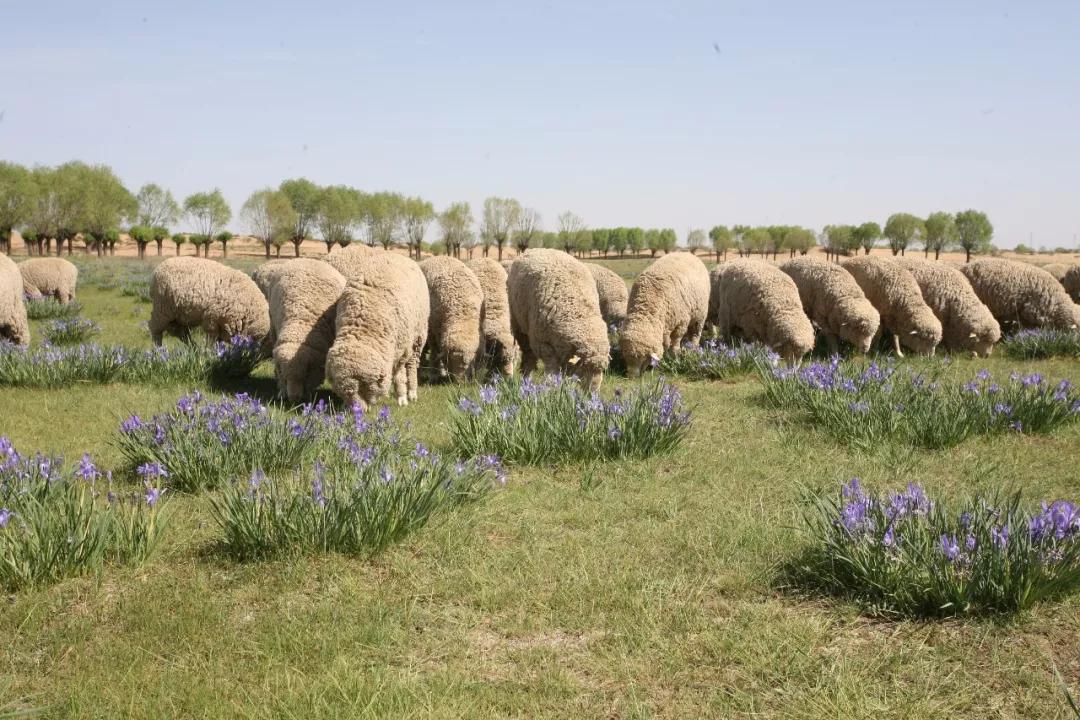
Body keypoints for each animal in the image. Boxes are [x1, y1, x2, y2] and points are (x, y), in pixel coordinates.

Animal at [321, 252, 427, 410]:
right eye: (343, 392)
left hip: (417, 337)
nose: (357, 412)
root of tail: (396, 254)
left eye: (363, 387)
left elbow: (399, 376)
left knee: (412, 364)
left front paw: (402, 398)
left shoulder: (401, 351)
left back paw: (412, 392)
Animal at [505, 250, 609, 390]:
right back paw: (526, 378)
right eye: (585, 369)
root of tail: (536, 249)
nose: (593, 393)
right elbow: (552, 370)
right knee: (528, 356)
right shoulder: (543, 344)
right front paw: (551, 387)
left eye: (601, 371)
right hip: (520, 326)